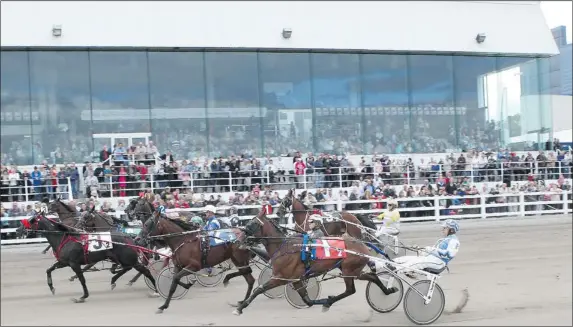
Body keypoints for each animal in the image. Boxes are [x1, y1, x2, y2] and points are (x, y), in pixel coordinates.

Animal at [16, 214, 158, 304]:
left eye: (30, 220)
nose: (18, 229)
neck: (65, 238)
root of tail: (130, 238)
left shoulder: (74, 264)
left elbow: (82, 279)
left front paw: (83, 296)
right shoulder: (64, 262)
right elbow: (49, 270)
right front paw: (52, 287)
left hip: (130, 259)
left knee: (145, 271)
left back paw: (156, 290)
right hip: (124, 259)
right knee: (127, 268)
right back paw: (114, 280)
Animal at [230, 209, 396, 316]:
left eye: (251, 224)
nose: (238, 240)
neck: (284, 247)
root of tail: (362, 245)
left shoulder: (280, 278)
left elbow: (258, 289)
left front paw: (240, 308)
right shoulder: (296, 279)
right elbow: (307, 300)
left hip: (349, 271)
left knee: (351, 290)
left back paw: (330, 302)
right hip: (352, 270)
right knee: (371, 278)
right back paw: (387, 291)